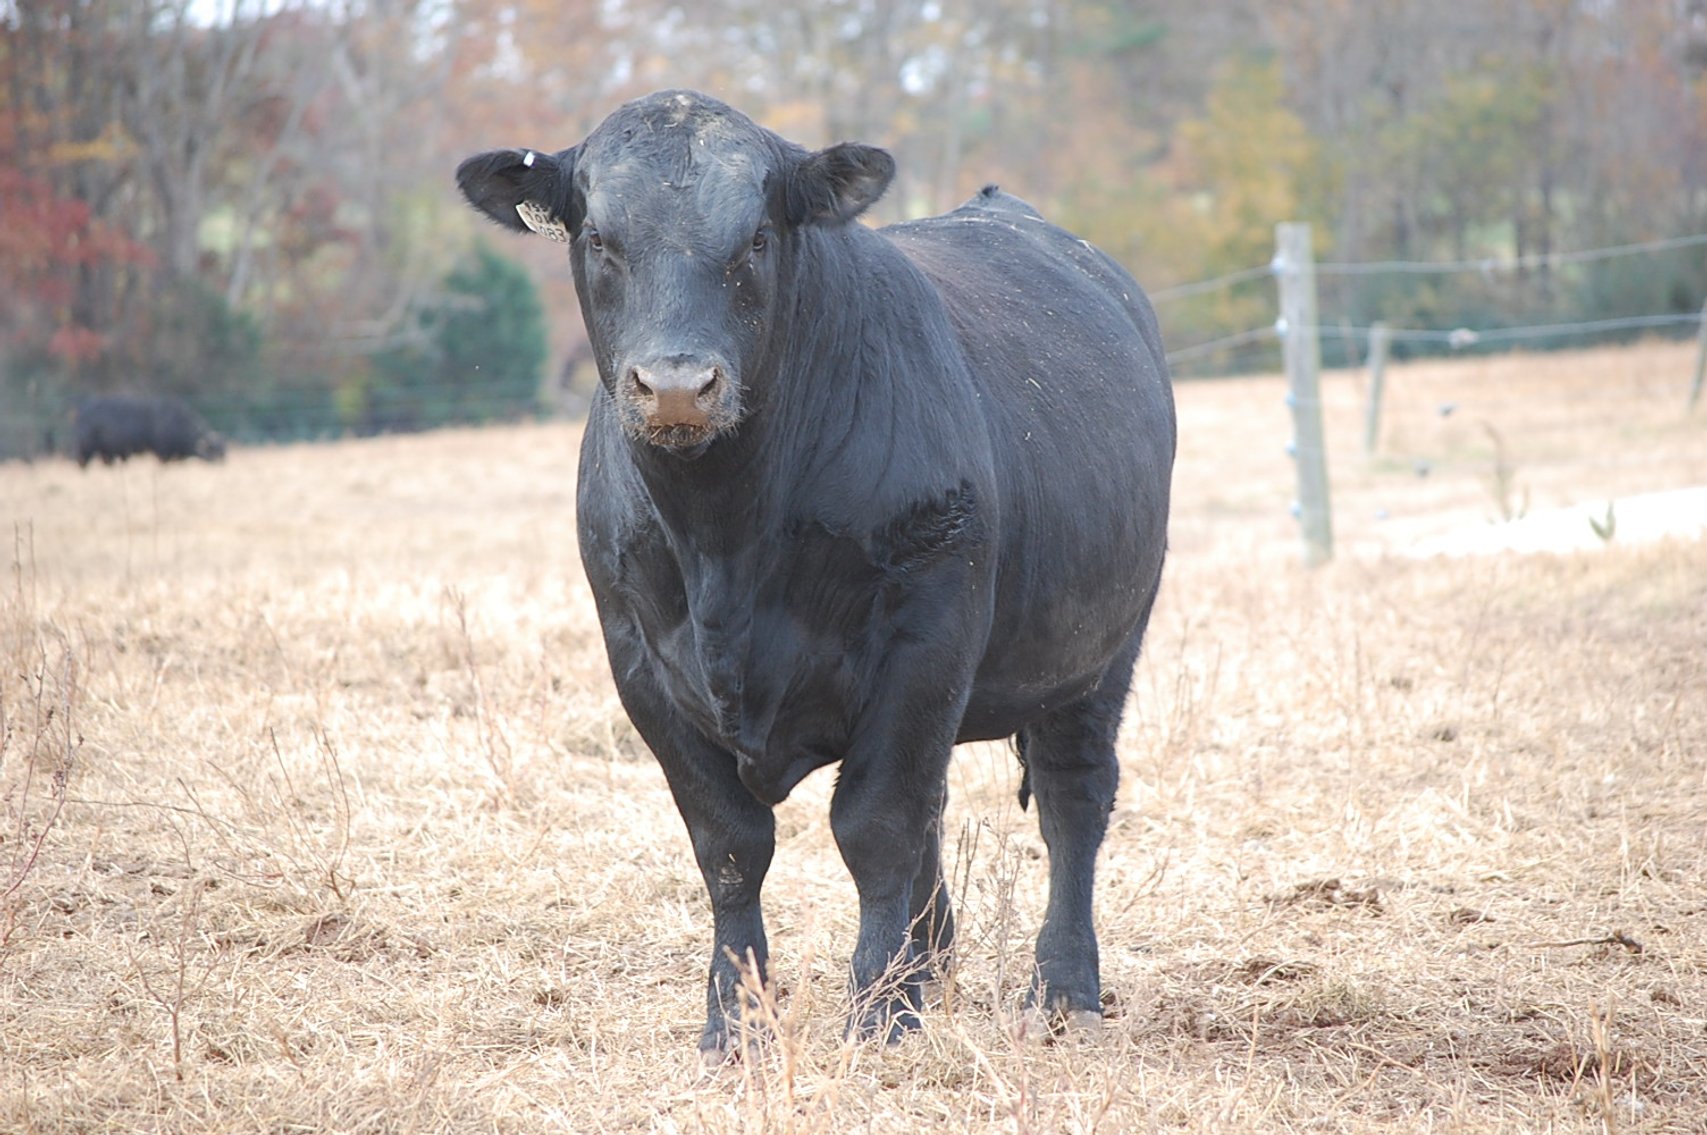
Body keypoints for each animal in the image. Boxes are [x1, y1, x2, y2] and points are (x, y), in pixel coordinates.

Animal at [74, 394, 226, 467]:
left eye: (223, 453)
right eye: (213, 452)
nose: (221, 465)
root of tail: (82, 410)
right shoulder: (163, 453)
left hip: (107, 452)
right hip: (86, 449)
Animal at [456, 90, 1176, 1063]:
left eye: (758, 236)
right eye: (598, 236)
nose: (677, 384)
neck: (724, 533)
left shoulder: (924, 637)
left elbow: (874, 826)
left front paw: (877, 1013)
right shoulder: (638, 658)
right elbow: (729, 846)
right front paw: (735, 1021)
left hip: (1100, 645)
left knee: (1072, 796)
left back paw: (1061, 989)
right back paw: (929, 966)